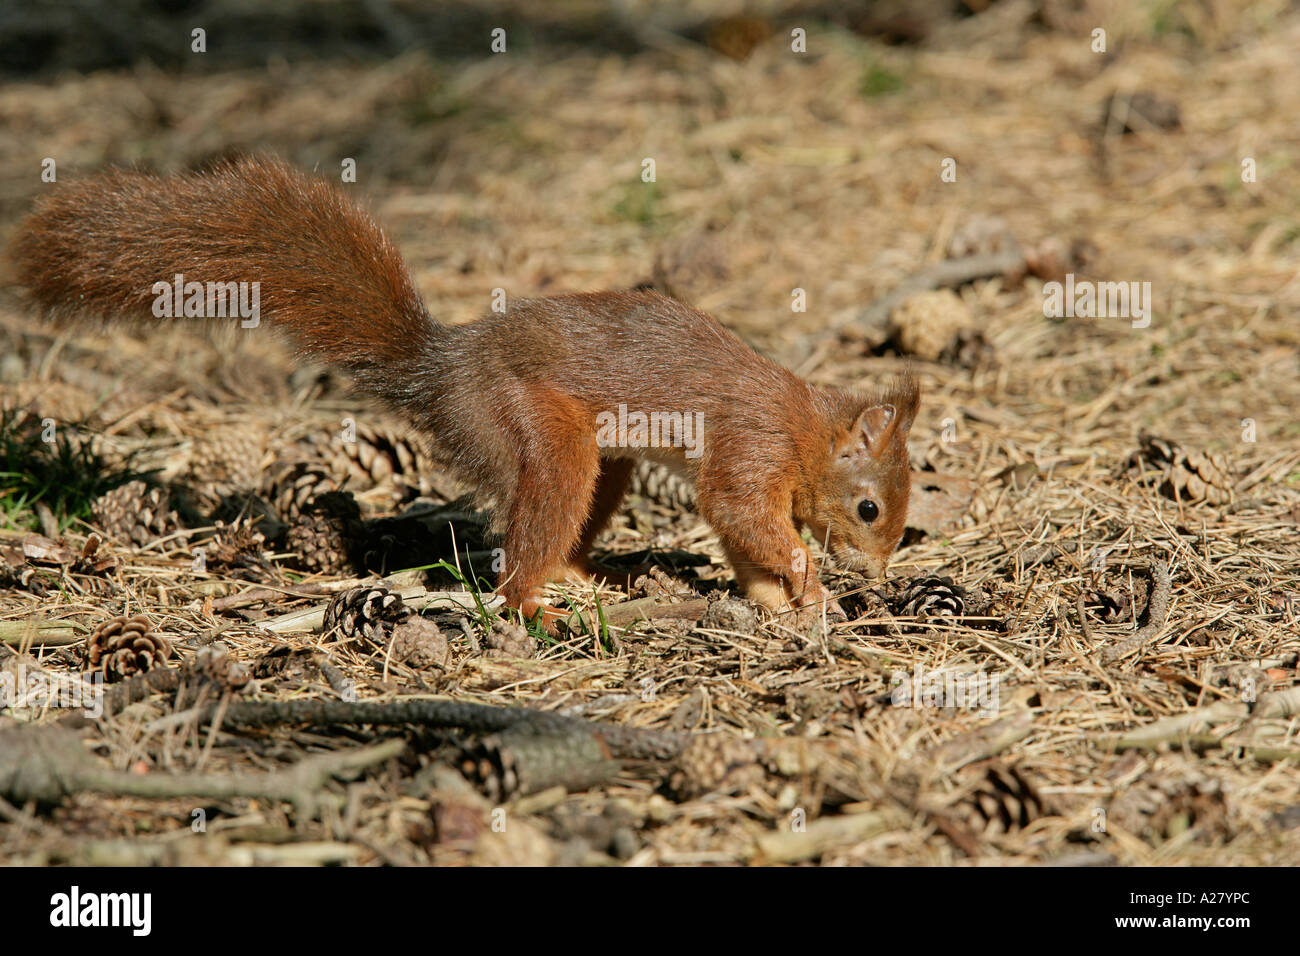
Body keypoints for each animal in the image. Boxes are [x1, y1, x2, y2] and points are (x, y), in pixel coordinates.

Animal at [15, 158, 920, 629]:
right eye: (870, 508)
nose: (878, 575)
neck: (807, 430)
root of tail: (442, 369)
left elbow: (741, 540)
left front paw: (781, 602)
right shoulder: (752, 445)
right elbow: (739, 514)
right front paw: (804, 571)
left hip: (603, 465)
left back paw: (581, 581)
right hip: (534, 432)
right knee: (519, 557)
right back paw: (539, 606)